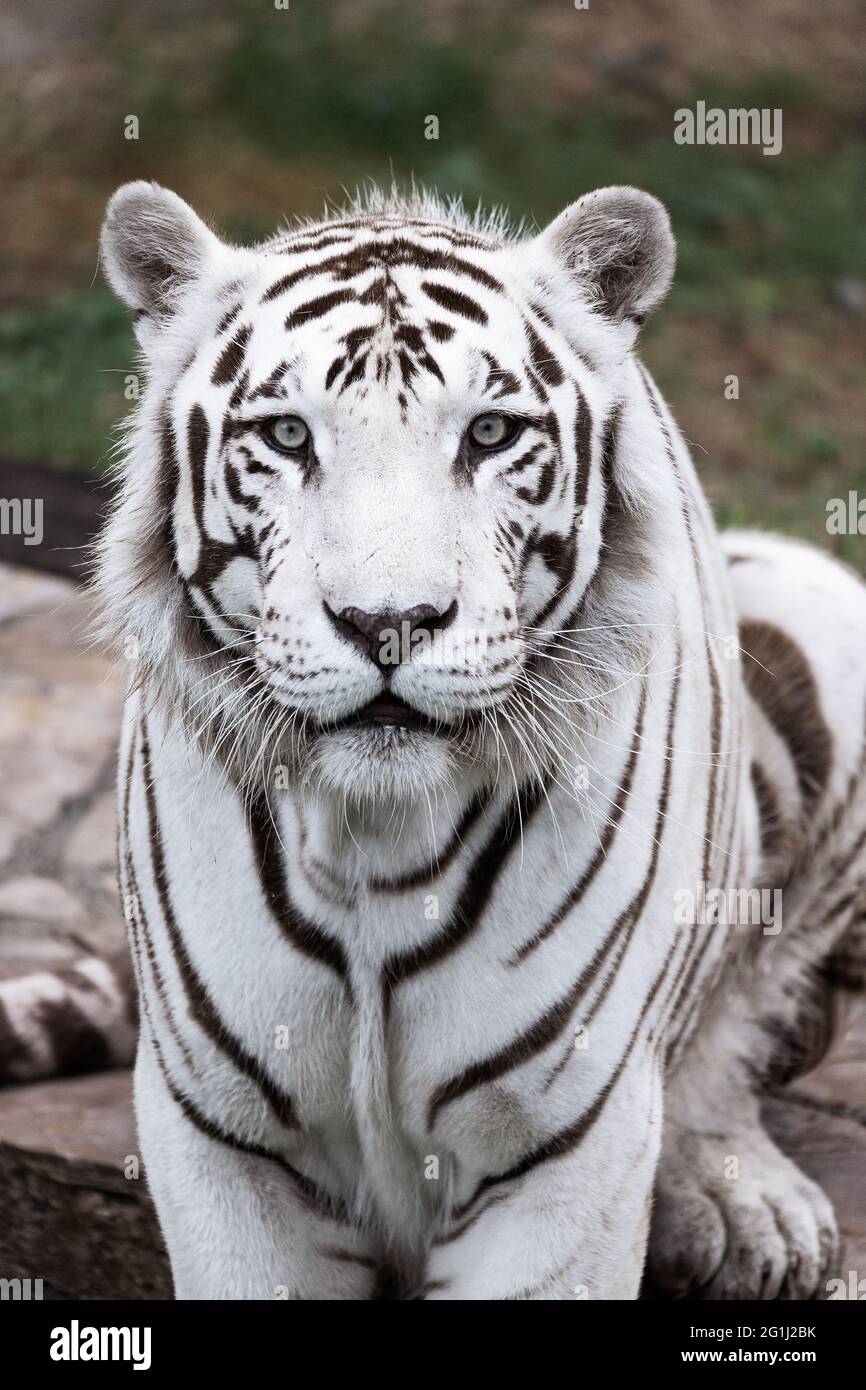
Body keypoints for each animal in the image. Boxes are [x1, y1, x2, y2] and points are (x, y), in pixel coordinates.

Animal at [3, 179, 865, 1300]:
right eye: (288, 436)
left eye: (489, 433)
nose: (390, 622)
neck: (373, 842)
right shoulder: (220, 1138)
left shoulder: (561, 1149)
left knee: (735, 1022)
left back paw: (745, 1206)